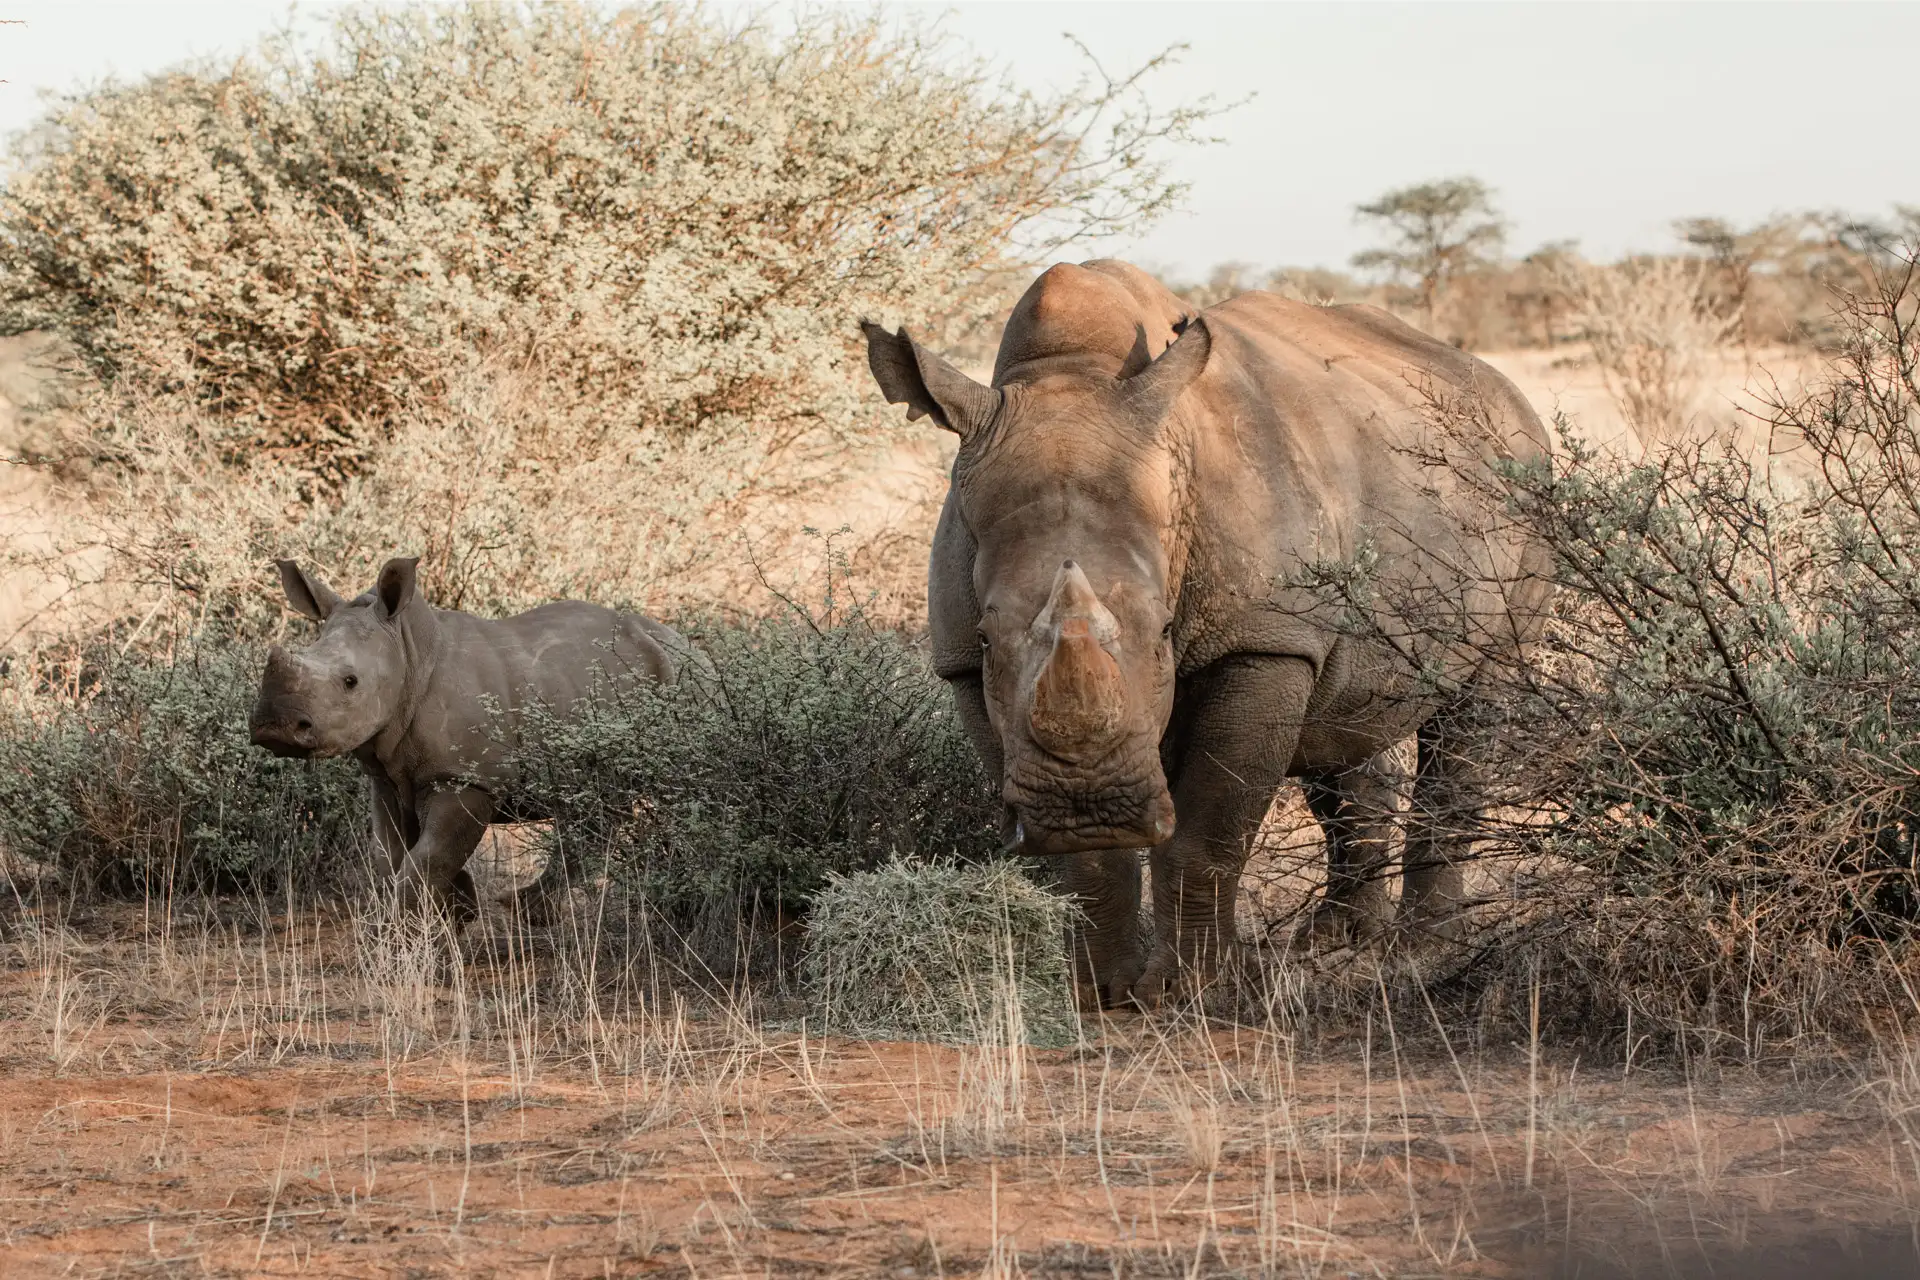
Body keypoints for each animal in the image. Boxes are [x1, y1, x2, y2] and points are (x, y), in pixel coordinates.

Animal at [249, 557, 682, 917]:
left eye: (350, 681)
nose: (274, 727)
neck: (407, 651)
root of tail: (678, 639)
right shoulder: (387, 775)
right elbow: (390, 854)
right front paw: (458, 909)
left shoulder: (465, 778)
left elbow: (429, 858)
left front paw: (406, 930)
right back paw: (525, 911)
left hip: (676, 677)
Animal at [863, 260, 1551, 1007]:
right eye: (990, 639)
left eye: (1165, 631)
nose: (1087, 806)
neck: (1069, 372)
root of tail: (1507, 394)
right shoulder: (961, 662)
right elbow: (1081, 862)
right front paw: (1095, 991)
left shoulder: (1262, 639)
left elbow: (1210, 829)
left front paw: (1188, 993)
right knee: (1343, 715)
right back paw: (1336, 941)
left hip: (1526, 480)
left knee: (1475, 708)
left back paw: (1421, 952)